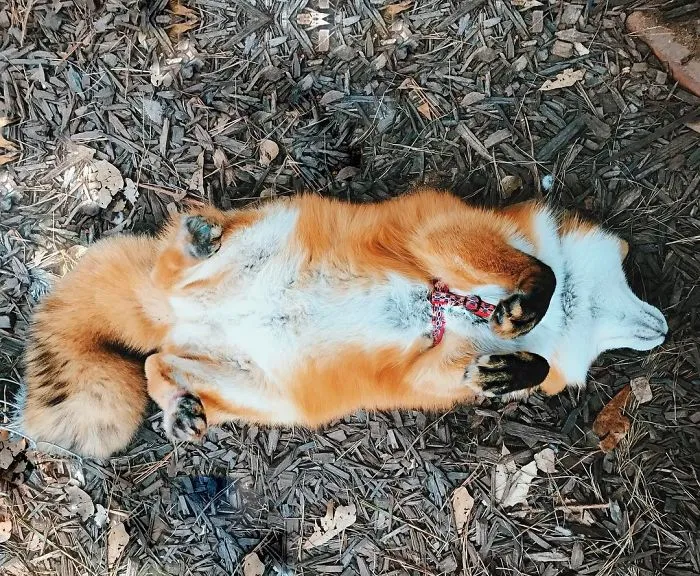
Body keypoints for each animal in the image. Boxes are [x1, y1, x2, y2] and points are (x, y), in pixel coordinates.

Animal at [16, 189, 668, 459]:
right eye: (629, 274)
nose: (663, 327)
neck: (460, 307)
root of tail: (177, 316)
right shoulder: (443, 237)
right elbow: (543, 274)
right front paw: (526, 309)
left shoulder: (430, 369)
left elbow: (507, 364)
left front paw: (513, 371)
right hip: (266, 229)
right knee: (175, 271)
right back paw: (199, 240)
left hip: (261, 395)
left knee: (157, 361)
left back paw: (178, 407)